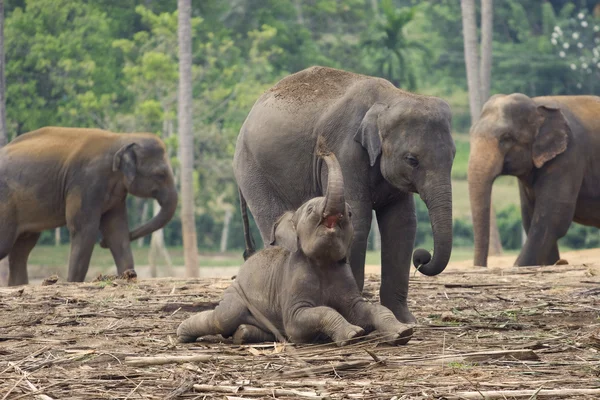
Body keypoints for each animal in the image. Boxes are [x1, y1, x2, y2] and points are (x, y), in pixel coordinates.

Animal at [0, 126, 178, 286]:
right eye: (160, 175)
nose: (102, 243)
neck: (120, 139)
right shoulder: (86, 182)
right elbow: (84, 229)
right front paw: (73, 283)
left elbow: (117, 232)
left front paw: (128, 277)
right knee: (8, 245)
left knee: (22, 248)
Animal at [176, 139, 414, 346]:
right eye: (309, 210)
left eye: (350, 213)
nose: (321, 147)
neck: (322, 263)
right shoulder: (293, 281)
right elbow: (303, 319)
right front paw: (353, 334)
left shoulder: (345, 280)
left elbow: (366, 309)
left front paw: (403, 332)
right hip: (236, 296)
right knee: (222, 317)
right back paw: (182, 333)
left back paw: (242, 334)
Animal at [234, 65, 454, 324]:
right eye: (412, 160)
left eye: (453, 155)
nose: (422, 257)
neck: (391, 97)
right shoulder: (345, 148)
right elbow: (357, 219)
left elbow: (401, 224)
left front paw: (405, 320)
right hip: (254, 171)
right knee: (275, 229)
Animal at [468, 94, 600, 268]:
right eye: (471, 133)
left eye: (506, 138)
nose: (480, 267)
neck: (536, 104)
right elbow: (529, 217)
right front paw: (554, 264)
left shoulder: (569, 156)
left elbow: (552, 217)